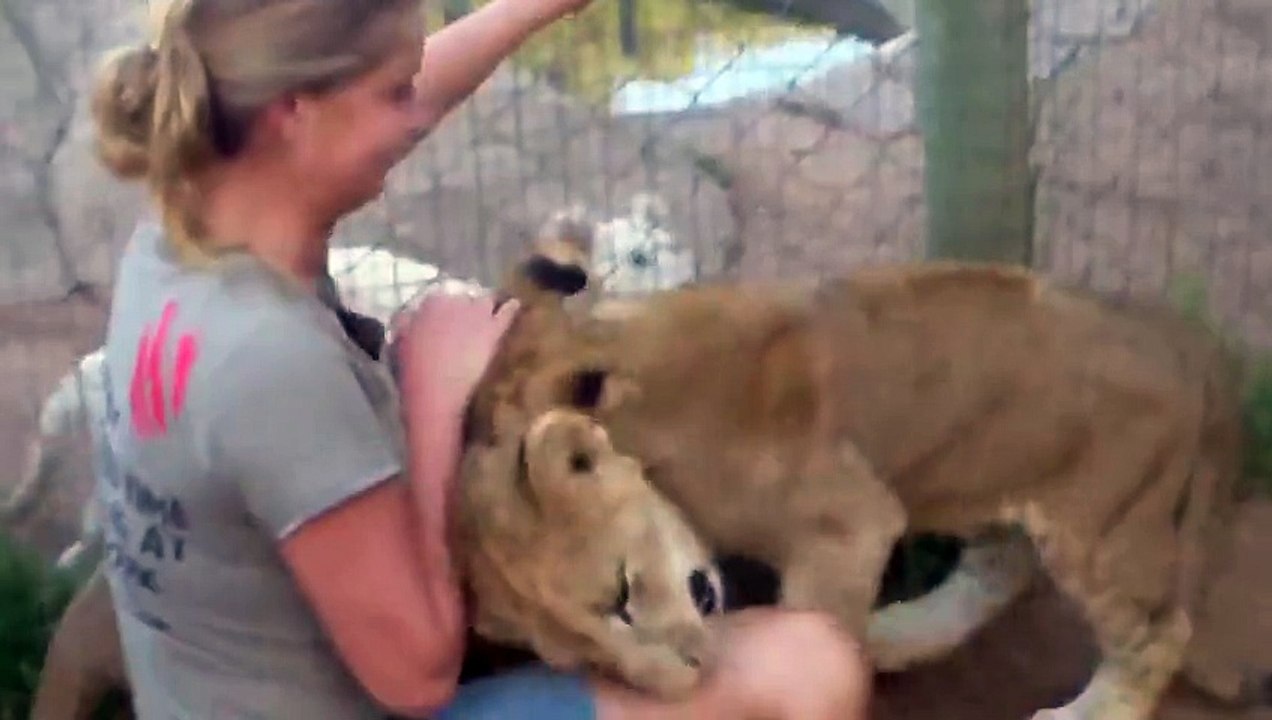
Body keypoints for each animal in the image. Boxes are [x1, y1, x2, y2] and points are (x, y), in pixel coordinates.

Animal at [456, 237, 1266, 720]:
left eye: (620, 598)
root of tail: (1191, 344)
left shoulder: (851, 519)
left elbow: (817, 623)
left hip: (1102, 525)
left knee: (1158, 632)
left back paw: (1082, 714)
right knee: (999, 570)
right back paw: (897, 634)